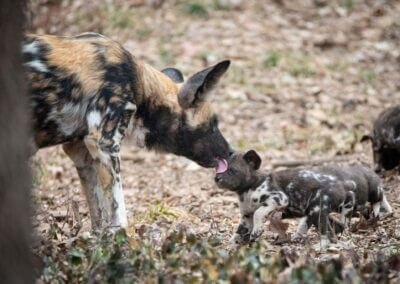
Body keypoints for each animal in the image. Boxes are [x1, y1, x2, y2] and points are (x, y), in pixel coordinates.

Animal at [23, 33, 233, 232]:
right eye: (213, 125)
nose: (231, 152)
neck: (140, 87)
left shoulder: (80, 151)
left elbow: (98, 213)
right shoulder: (104, 143)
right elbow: (118, 210)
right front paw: (125, 239)